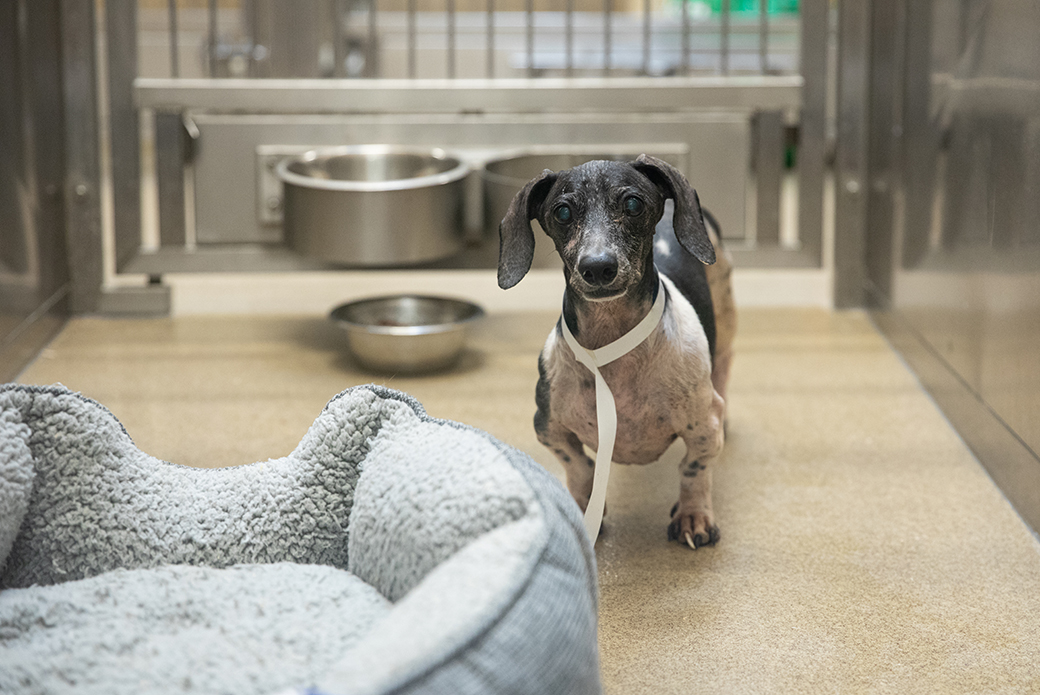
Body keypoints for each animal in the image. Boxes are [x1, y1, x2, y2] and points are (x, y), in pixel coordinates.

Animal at [497, 152, 736, 549]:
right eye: (563, 212)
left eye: (633, 204)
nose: (597, 267)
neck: (613, 348)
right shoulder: (548, 426)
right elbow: (579, 466)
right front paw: (584, 508)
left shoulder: (704, 425)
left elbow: (694, 468)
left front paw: (693, 516)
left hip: (727, 316)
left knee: (724, 368)